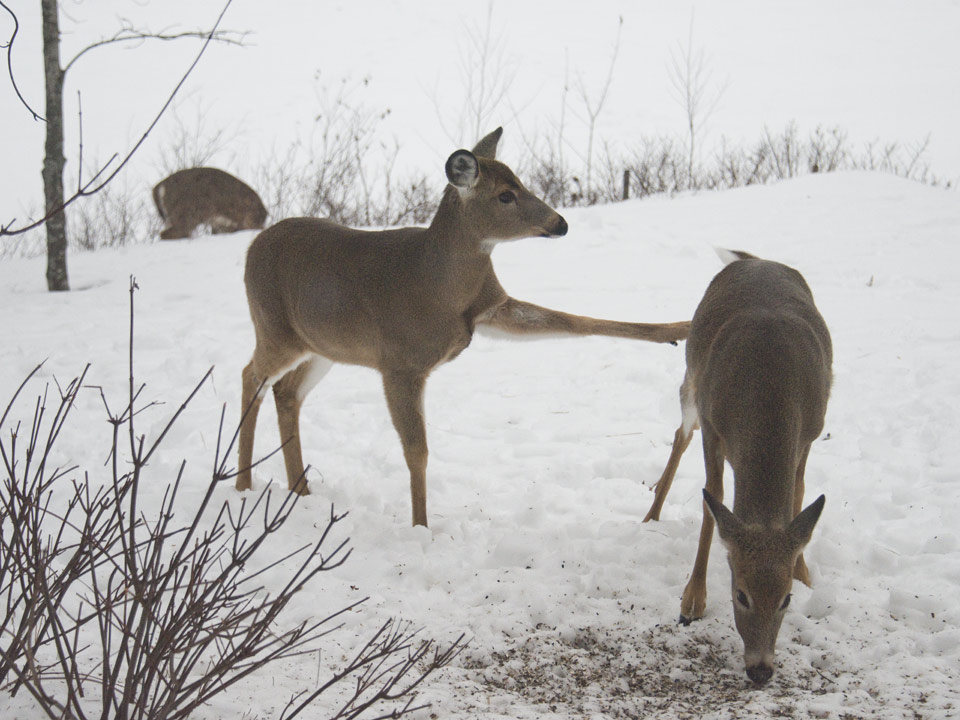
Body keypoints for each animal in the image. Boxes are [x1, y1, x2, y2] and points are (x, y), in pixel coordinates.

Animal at [236, 127, 690, 527]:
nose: (560, 223)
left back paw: (301, 490)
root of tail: (253, 245)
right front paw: (421, 528)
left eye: (521, 181)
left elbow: (574, 320)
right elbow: (417, 452)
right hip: (274, 327)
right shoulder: (400, 363)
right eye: (505, 194)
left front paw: (679, 328)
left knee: (286, 392)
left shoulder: (492, 307)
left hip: (323, 348)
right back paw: (242, 484)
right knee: (250, 376)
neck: (436, 284)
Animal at [642, 249, 832, 684]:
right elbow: (713, 500)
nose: (761, 670)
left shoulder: (811, 433)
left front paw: (804, 571)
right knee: (680, 434)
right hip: (692, 382)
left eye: (786, 599)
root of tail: (757, 259)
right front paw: (692, 599)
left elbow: (798, 495)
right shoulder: (714, 424)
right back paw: (652, 511)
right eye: (740, 594)